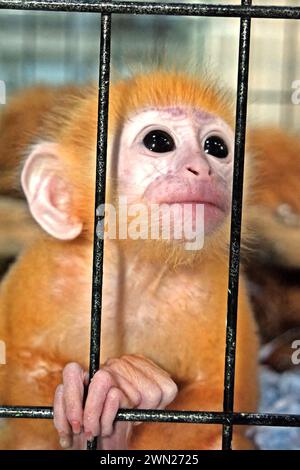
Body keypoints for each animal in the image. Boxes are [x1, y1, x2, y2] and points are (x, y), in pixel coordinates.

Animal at [0, 71, 258, 450]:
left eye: (217, 148)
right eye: (158, 141)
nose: (204, 170)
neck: (134, 273)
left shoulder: (215, 289)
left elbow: (227, 399)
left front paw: (120, 416)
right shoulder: (50, 272)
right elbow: (15, 362)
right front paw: (74, 403)